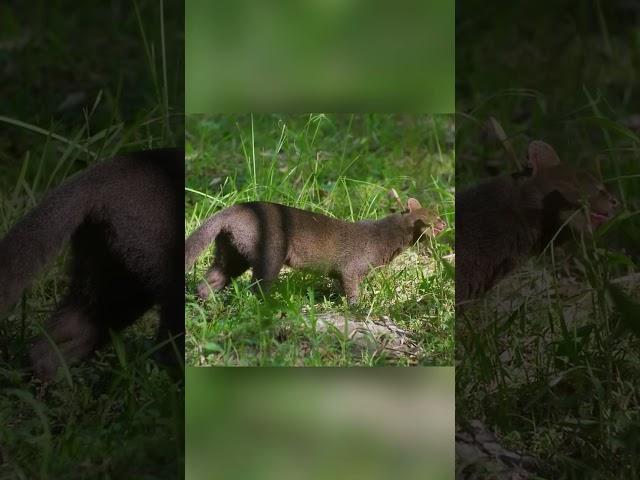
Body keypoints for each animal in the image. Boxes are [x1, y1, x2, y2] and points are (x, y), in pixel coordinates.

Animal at [185, 198, 444, 304]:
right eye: (435, 218)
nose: (445, 223)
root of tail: (230, 210)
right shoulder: (352, 268)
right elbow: (352, 292)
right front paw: (357, 308)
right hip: (270, 252)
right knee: (256, 287)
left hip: (232, 254)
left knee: (209, 281)